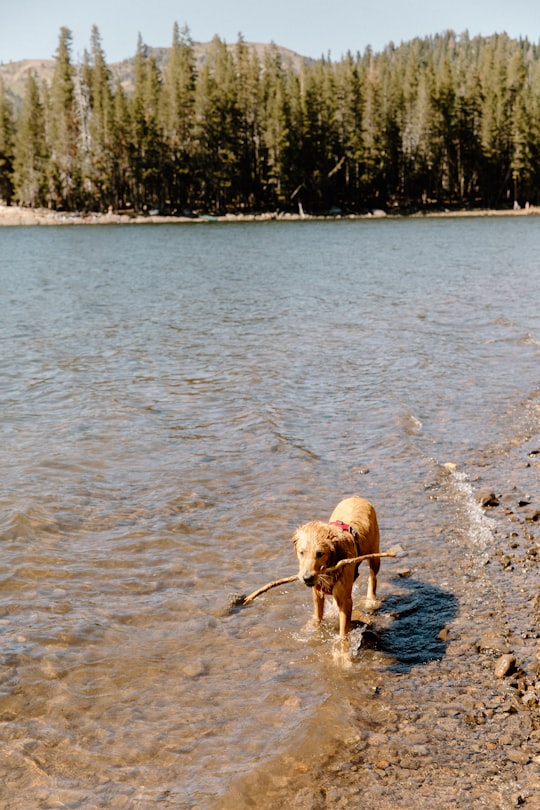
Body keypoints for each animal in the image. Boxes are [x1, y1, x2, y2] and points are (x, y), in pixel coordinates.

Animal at [292, 496, 380, 636]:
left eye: (320, 554)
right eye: (302, 552)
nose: (306, 578)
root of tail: (356, 497)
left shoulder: (346, 600)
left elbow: (343, 631)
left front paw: (342, 643)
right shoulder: (317, 593)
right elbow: (317, 616)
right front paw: (311, 628)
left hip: (374, 554)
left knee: (373, 576)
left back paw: (371, 599)